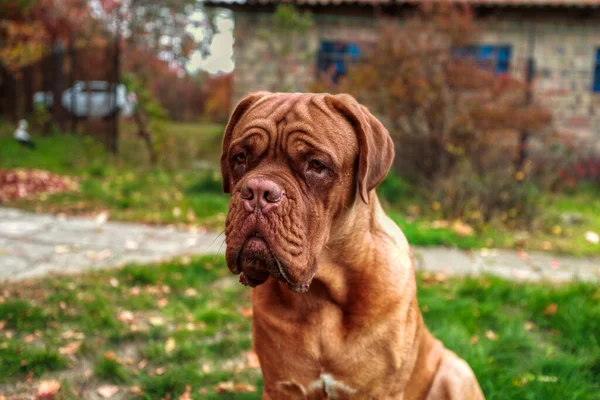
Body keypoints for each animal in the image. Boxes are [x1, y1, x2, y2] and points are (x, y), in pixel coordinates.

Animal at [223, 92, 486, 398]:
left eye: (316, 165)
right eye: (240, 157)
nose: (257, 191)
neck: (322, 295)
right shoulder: (282, 387)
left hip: (456, 372)